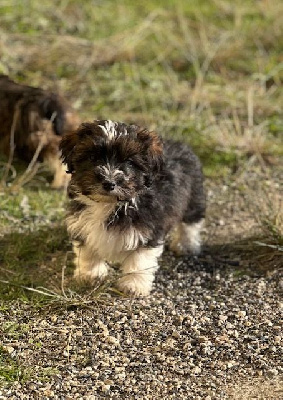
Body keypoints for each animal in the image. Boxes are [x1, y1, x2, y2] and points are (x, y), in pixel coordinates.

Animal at [60, 120, 206, 296]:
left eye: (129, 162)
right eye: (93, 157)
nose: (109, 183)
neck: (109, 204)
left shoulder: (147, 228)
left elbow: (139, 258)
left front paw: (133, 284)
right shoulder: (81, 223)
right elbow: (88, 252)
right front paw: (90, 275)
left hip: (194, 196)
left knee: (190, 223)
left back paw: (186, 245)